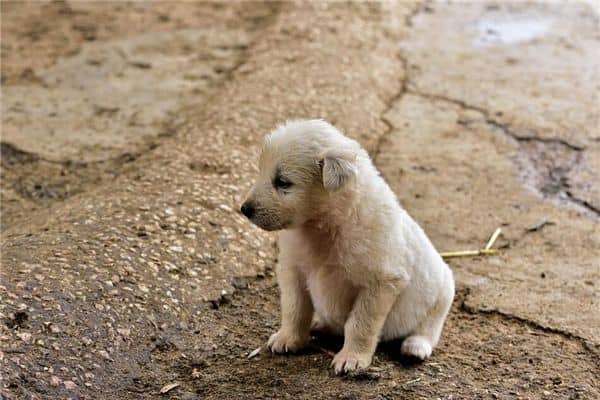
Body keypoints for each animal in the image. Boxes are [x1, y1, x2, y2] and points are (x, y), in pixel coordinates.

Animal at [241, 119, 452, 376]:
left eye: (283, 182)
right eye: (261, 172)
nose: (245, 209)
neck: (324, 225)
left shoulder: (381, 281)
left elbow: (360, 323)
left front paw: (352, 358)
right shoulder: (293, 268)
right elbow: (294, 308)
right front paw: (288, 338)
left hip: (442, 294)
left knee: (429, 328)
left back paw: (415, 347)